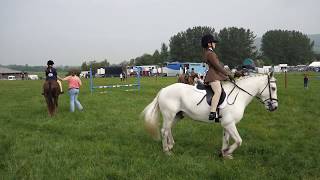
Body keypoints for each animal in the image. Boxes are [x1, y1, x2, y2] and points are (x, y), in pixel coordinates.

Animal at [140, 72, 278, 158]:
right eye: (273, 88)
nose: (274, 107)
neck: (238, 95)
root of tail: (163, 90)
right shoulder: (230, 124)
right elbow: (239, 141)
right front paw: (227, 152)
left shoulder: (227, 124)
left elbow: (226, 139)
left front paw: (224, 154)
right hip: (169, 115)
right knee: (164, 131)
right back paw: (167, 151)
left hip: (177, 116)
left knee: (168, 129)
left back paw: (170, 145)